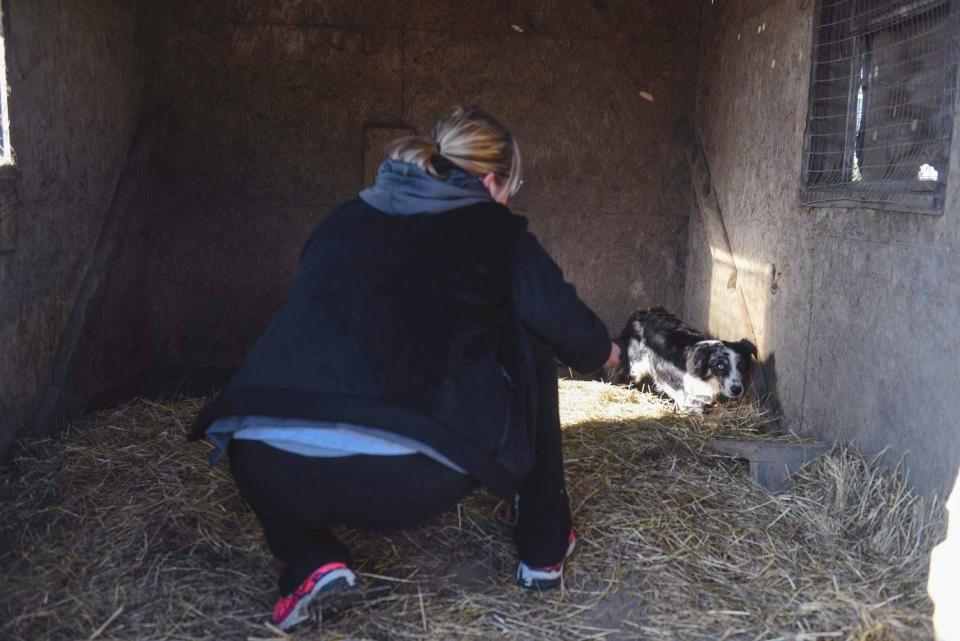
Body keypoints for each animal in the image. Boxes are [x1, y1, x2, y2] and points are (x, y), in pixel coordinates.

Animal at [608, 306, 756, 416]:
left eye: (741, 366)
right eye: (720, 366)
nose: (737, 390)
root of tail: (642, 313)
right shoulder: (690, 401)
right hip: (637, 367)